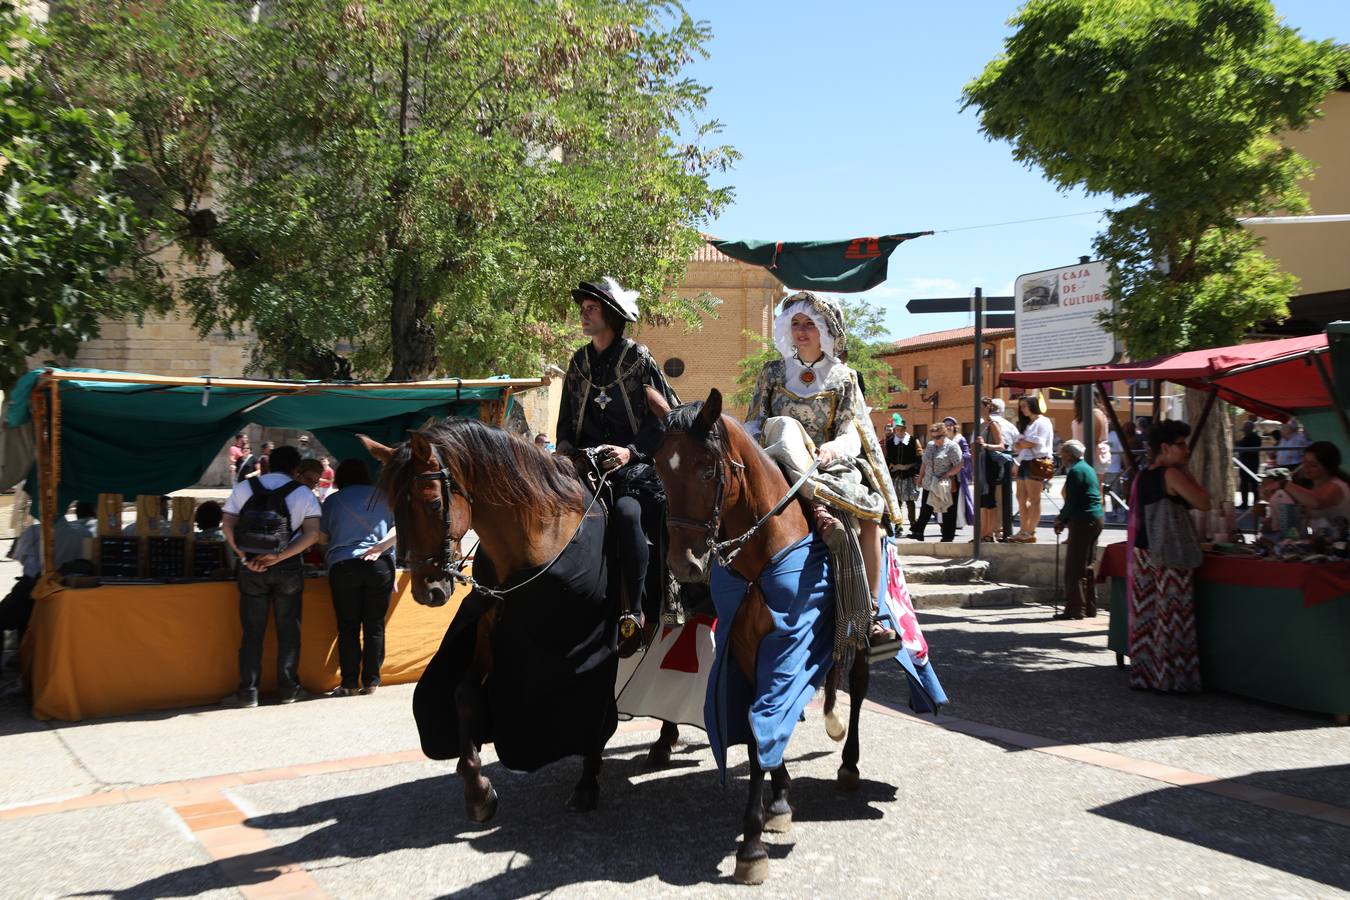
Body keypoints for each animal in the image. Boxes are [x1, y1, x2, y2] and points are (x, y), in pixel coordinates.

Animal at [645, 388, 874, 885]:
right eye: (660, 468)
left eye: (707, 469)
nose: (685, 564)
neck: (762, 555)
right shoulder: (746, 650)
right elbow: (754, 728)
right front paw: (778, 801)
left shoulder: (788, 645)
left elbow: (768, 714)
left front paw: (751, 843)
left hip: (866, 627)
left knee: (859, 685)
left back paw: (849, 764)